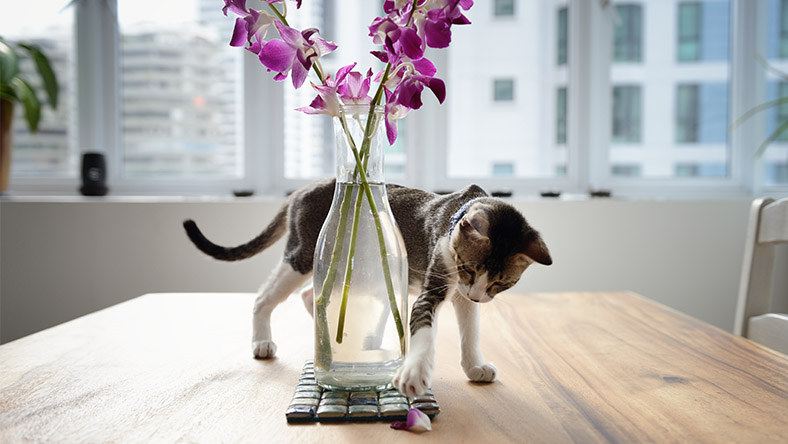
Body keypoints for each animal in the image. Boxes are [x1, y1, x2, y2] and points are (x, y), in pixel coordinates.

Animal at [185, 179, 556, 398]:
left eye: (501, 283)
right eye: (469, 268)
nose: (477, 294)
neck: (455, 214)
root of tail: (303, 190)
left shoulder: (462, 296)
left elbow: (470, 331)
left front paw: (474, 365)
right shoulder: (437, 282)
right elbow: (424, 329)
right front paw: (415, 372)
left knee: (310, 297)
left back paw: (329, 338)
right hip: (305, 255)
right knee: (265, 297)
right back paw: (263, 341)